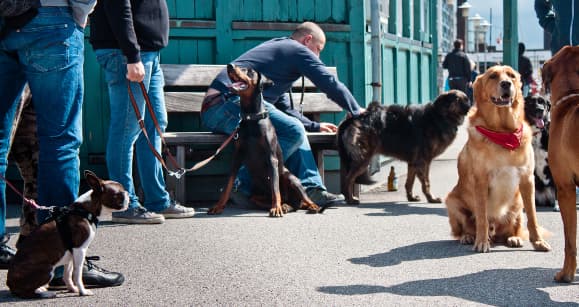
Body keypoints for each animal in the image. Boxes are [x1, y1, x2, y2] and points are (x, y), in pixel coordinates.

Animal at [207, 64, 324, 218]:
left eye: (249, 71)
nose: (229, 66)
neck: (251, 117)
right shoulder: (237, 157)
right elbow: (228, 184)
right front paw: (218, 206)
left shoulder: (271, 158)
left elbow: (275, 188)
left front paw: (276, 208)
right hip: (255, 195)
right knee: (288, 204)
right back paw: (285, 206)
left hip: (290, 177)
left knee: (303, 198)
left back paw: (310, 206)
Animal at [340, 89, 472, 206]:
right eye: (461, 100)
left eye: (467, 100)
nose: (471, 107)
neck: (439, 116)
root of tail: (353, 118)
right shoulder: (423, 161)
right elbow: (426, 183)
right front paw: (431, 199)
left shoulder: (414, 163)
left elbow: (410, 182)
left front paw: (411, 197)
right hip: (363, 159)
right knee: (348, 179)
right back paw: (350, 199)